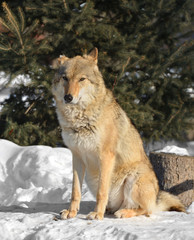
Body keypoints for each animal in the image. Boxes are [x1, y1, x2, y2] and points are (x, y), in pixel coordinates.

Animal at [52, 48, 185, 219]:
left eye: (82, 79)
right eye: (65, 78)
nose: (68, 97)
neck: (79, 119)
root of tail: (156, 198)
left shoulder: (105, 156)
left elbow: (102, 192)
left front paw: (97, 214)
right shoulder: (77, 156)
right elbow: (75, 192)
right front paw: (72, 212)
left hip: (133, 178)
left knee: (145, 210)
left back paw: (122, 212)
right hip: (91, 178)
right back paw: (110, 210)